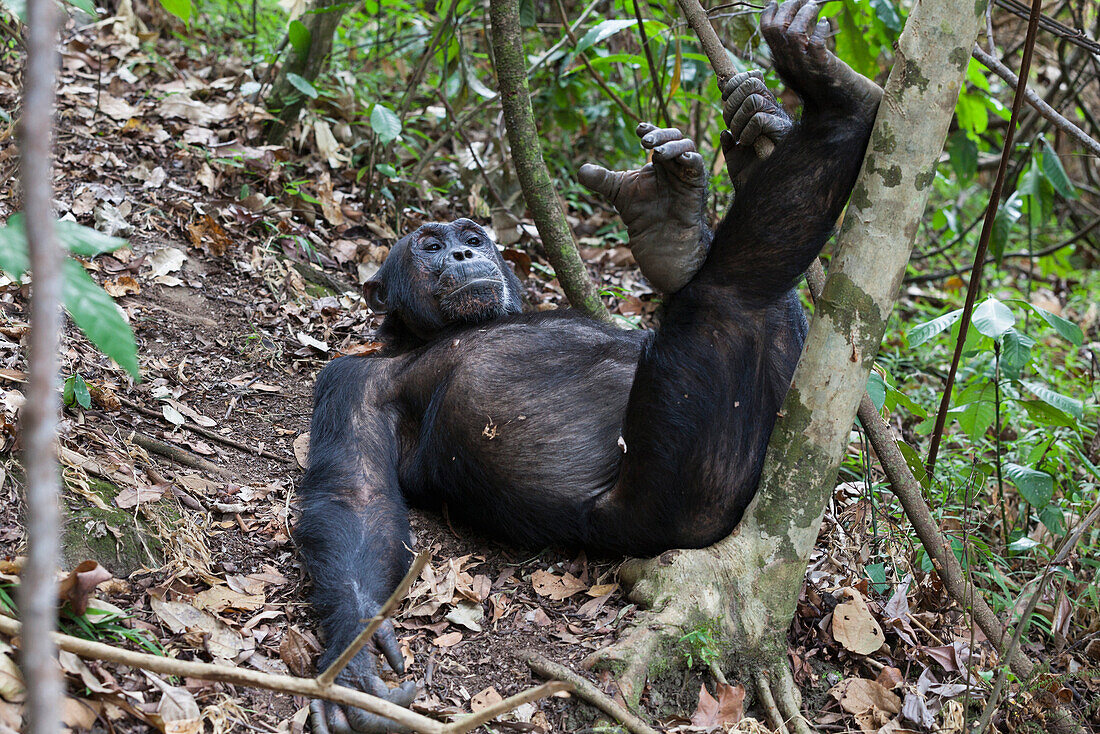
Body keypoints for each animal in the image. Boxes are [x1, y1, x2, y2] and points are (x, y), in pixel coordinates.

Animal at [297, 2, 880, 730]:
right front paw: (356, 652)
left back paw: (692, 204)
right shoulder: (351, 381)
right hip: (692, 484)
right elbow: (357, 496)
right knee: (728, 294)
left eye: (472, 236)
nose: (462, 254)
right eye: (429, 245)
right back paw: (837, 101)